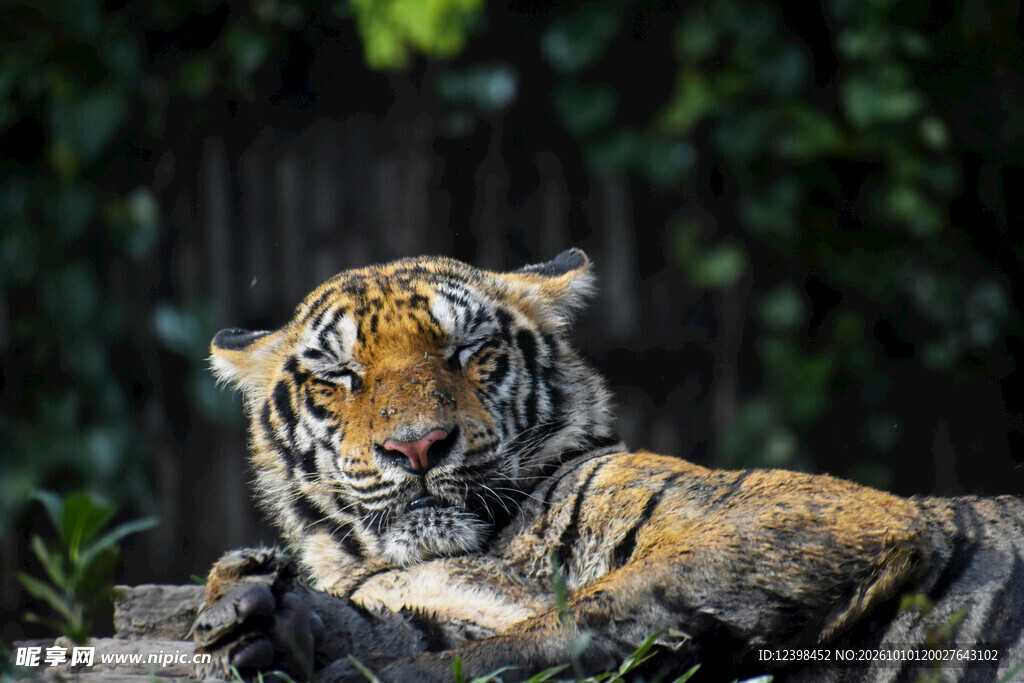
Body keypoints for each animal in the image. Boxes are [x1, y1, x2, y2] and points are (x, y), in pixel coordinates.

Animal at [194, 249, 1024, 682]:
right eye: (340, 376)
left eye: (469, 349)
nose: (419, 446)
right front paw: (272, 619)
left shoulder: (815, 515)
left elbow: (588, 609)